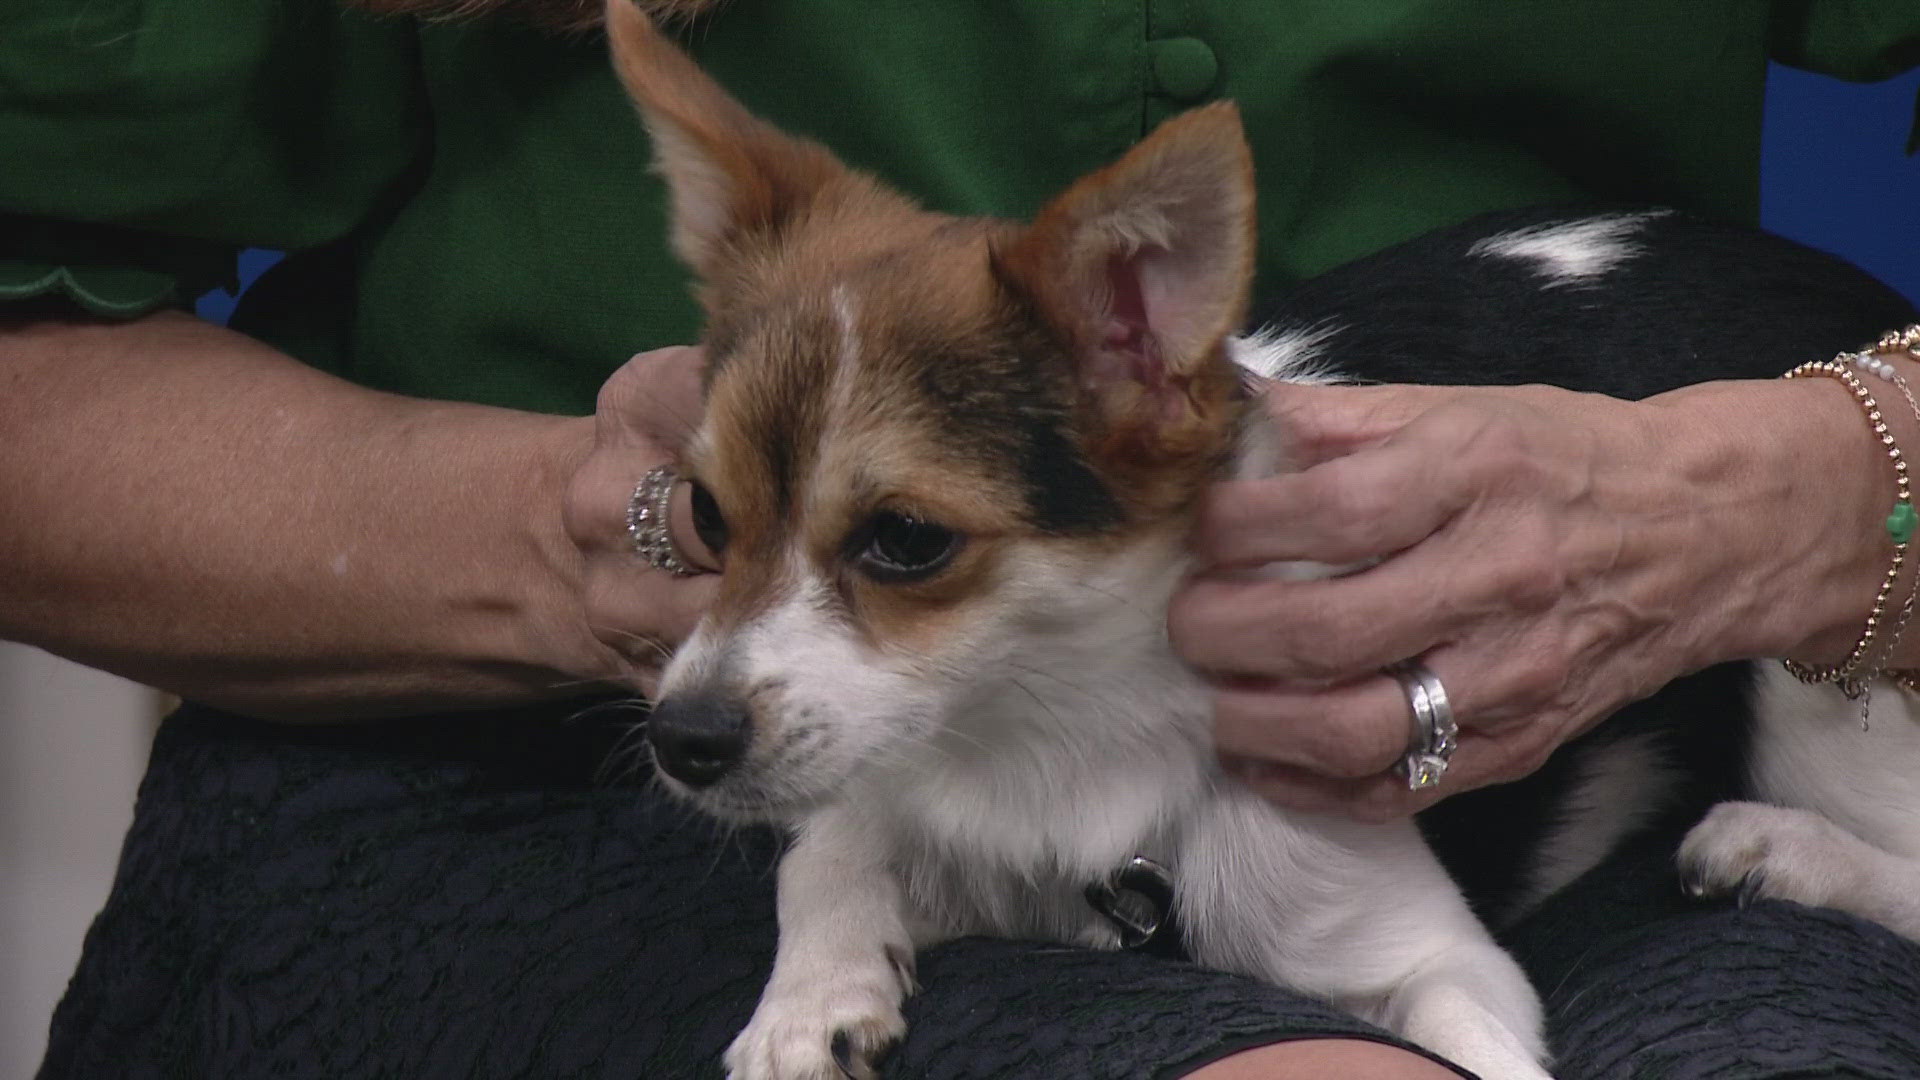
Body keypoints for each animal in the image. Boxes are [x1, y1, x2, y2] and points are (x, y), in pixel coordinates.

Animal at [606, 4, 1920, 1068]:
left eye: (907, 540)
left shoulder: (1444, 962)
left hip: (1796, 667)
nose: (681, 740)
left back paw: (1782, 846)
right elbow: (831, 842)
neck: (1049, 744)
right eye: (704, 515)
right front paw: (807, 1004)